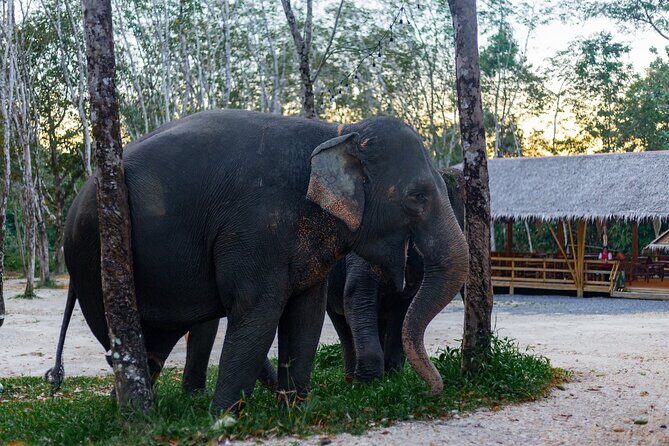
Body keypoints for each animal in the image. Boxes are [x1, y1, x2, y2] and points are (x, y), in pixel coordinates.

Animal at [326, 168, 465, 383]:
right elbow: (357, 296)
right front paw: (369, 383)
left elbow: (402, 309)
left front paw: (392, 379)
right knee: (340, 319)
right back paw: (351, 379)